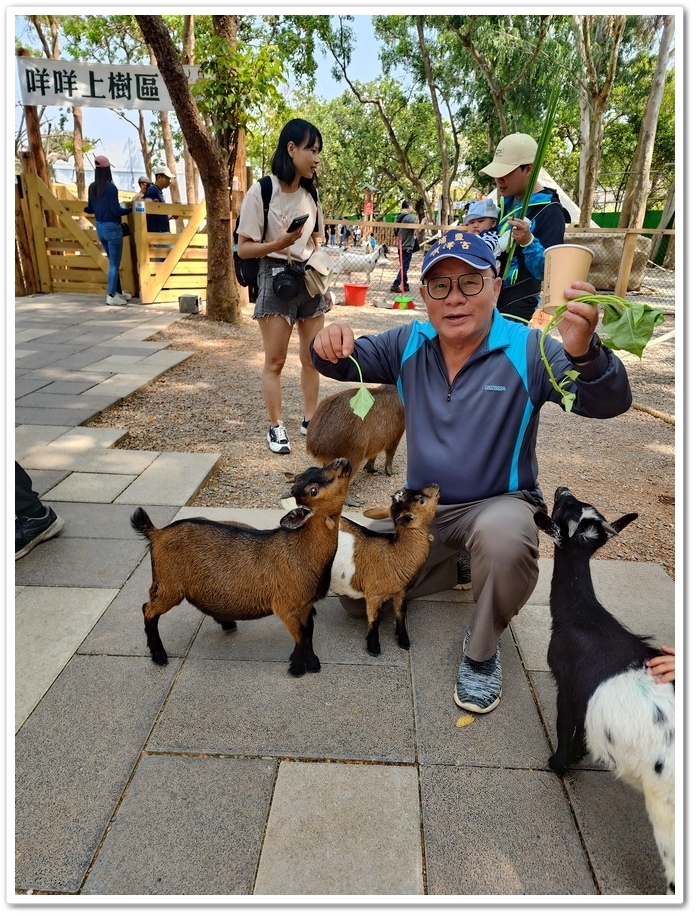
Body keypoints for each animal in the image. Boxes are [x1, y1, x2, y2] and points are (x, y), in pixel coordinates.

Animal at [129, 456, 354, 676]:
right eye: (313, 490)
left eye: (314, 468)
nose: (341, 461)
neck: (301, 549)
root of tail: (157, 533)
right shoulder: (285, 607)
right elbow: (301, 635)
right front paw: (297, 669)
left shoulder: (306, 606)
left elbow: (309, 633)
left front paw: (312, 663)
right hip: (169, 585)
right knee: (148, 609)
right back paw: (159, 655)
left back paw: (226, 622)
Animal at [332, 484, 440, 656]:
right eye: (421, 500)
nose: (436, 486)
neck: (394, 553)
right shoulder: (373, 594)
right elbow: (375, 619)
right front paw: (373, 648)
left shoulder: (400, 592)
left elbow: (401, 613)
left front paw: (404, 641)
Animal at [532, 486, 676, 896]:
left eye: (565, 507)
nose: (561, 489)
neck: (583, 619)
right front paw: (580, 755)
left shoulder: (566, 683)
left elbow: (565, 724)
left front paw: (559, 763)